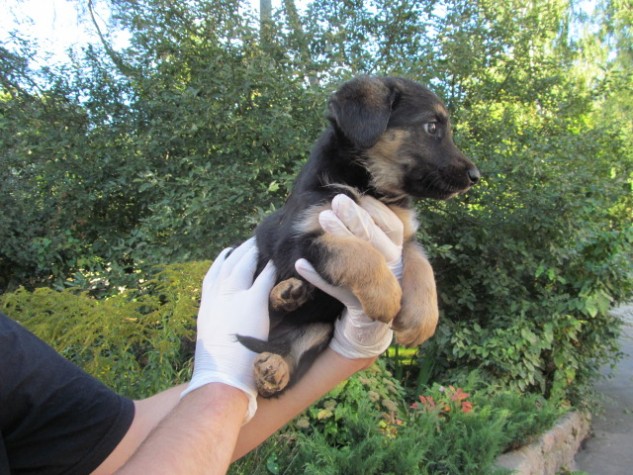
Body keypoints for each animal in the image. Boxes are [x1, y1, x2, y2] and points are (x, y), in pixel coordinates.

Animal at [236, 76, 479, 397]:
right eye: (432, 126)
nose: (475, 176)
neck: (367, 186)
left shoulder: (405, 235)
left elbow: (422, 267)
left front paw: (421, 320)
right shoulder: (296, 240)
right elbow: (355, 252)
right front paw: (386, 295)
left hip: (317, 328)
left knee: (288, 359)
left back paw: (275, 364)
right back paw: (284, 294)